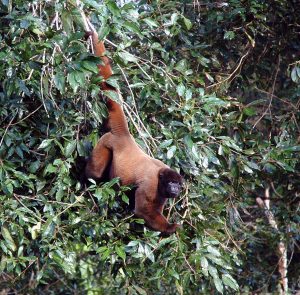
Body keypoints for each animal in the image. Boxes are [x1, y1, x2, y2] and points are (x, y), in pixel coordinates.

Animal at [84, 31, 183, 235]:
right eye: (171, 183)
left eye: (178, 184)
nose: (175, 189)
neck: (160, 176)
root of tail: (125, 136)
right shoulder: (152, 186)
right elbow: (143, 210)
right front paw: (171, 227)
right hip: (106, 143)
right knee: (95, 173)